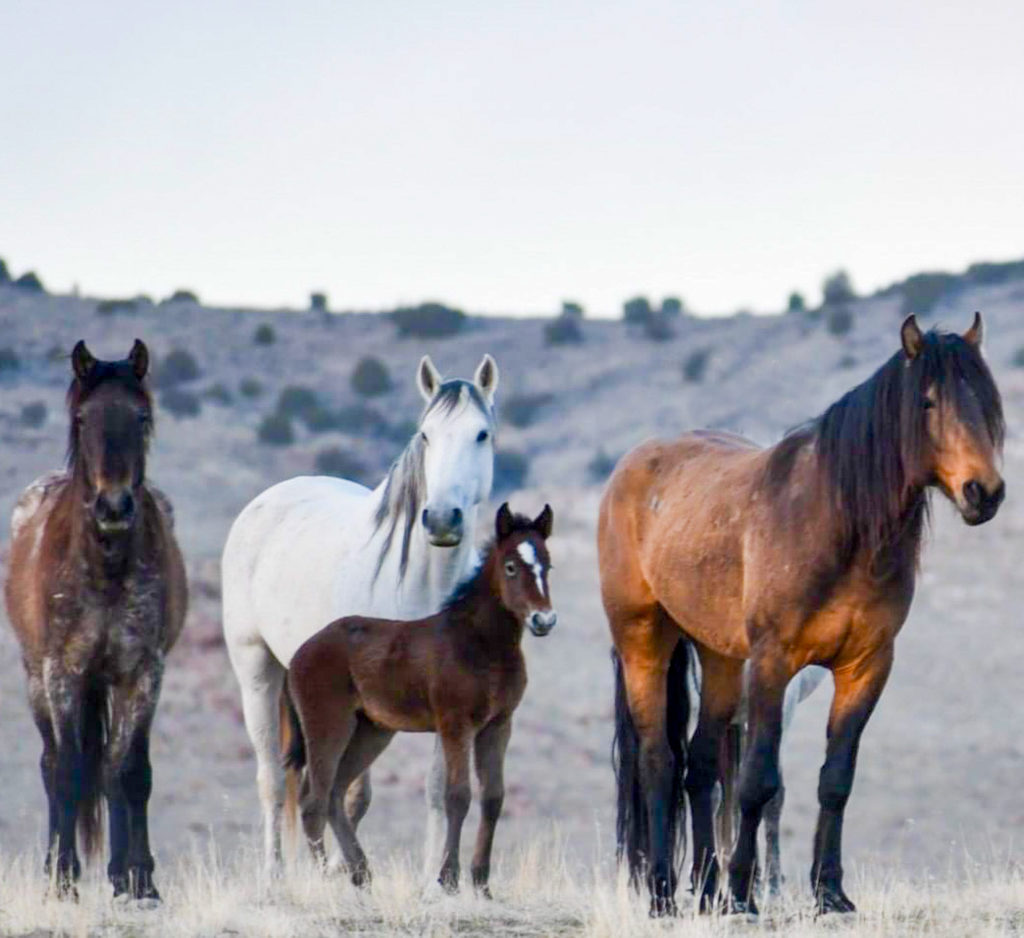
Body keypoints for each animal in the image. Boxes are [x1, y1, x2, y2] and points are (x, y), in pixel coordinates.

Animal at [4, 337, 188, 901]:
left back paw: (123, 871)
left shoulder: (142, 672)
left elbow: (128, 772)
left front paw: (139, 881)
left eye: (142, 416)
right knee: (53, 765)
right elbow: (67, 771)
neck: (105, 566)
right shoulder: (61, 672)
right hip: (35, 678)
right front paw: (63, 879)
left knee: (114, 768)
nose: (113, 506)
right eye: (83, 418)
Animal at [222, 354, 497, 872]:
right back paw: (276, 873)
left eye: (482, 434)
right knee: (272, 779)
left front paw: (433, 877)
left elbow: (436, 790)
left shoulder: (449, 700)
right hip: (257, 669)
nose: (441, 519)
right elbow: (351, 792)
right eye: (426, 434)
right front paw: (339, 869)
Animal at [284, 505, 557, 892]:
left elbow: (493, 796)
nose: (543, 620)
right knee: (314, 799)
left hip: (372, 731)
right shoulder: (456, 725)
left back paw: (361, 874)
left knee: (336, 791)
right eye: (510, 567)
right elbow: (457, 795)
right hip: (327, 723)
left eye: (547, 565)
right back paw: (324, 878)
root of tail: (299, 653)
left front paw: (482, 883)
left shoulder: (499, 725)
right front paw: (448, 879)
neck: (481, 644)